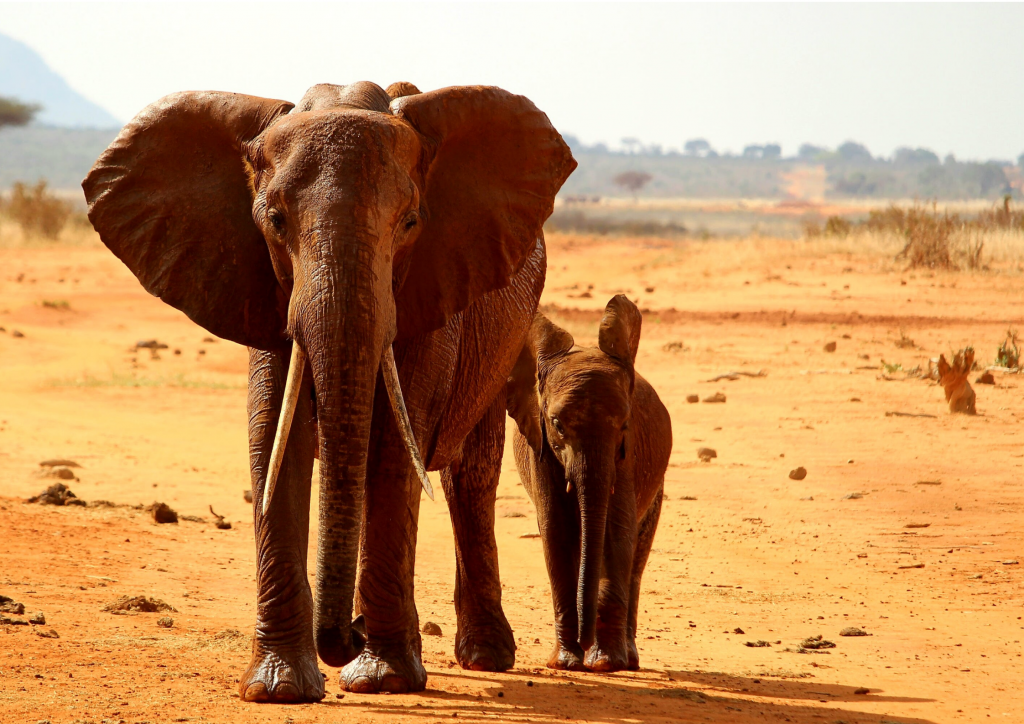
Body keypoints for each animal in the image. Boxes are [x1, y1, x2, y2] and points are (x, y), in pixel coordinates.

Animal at [83, 80, 577, 700]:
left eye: (410, 222)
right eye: (273, 220)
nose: (346, 635)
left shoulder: (429, 292)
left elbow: (391, 445)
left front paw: (383, 679)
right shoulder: (260, 287)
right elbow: (274, 438)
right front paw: (277, 688)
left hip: (502, 335)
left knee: (470, 478)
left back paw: (481, 655)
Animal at [505, 296, 671, 675]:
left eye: (624, 424)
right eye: (556, 424)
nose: (584, 640)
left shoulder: (627, 456)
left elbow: (617, 532)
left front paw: (606, 663)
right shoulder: (540, 447)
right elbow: (555, 532)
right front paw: (566, 663)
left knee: (637, 556)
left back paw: (628, 659)